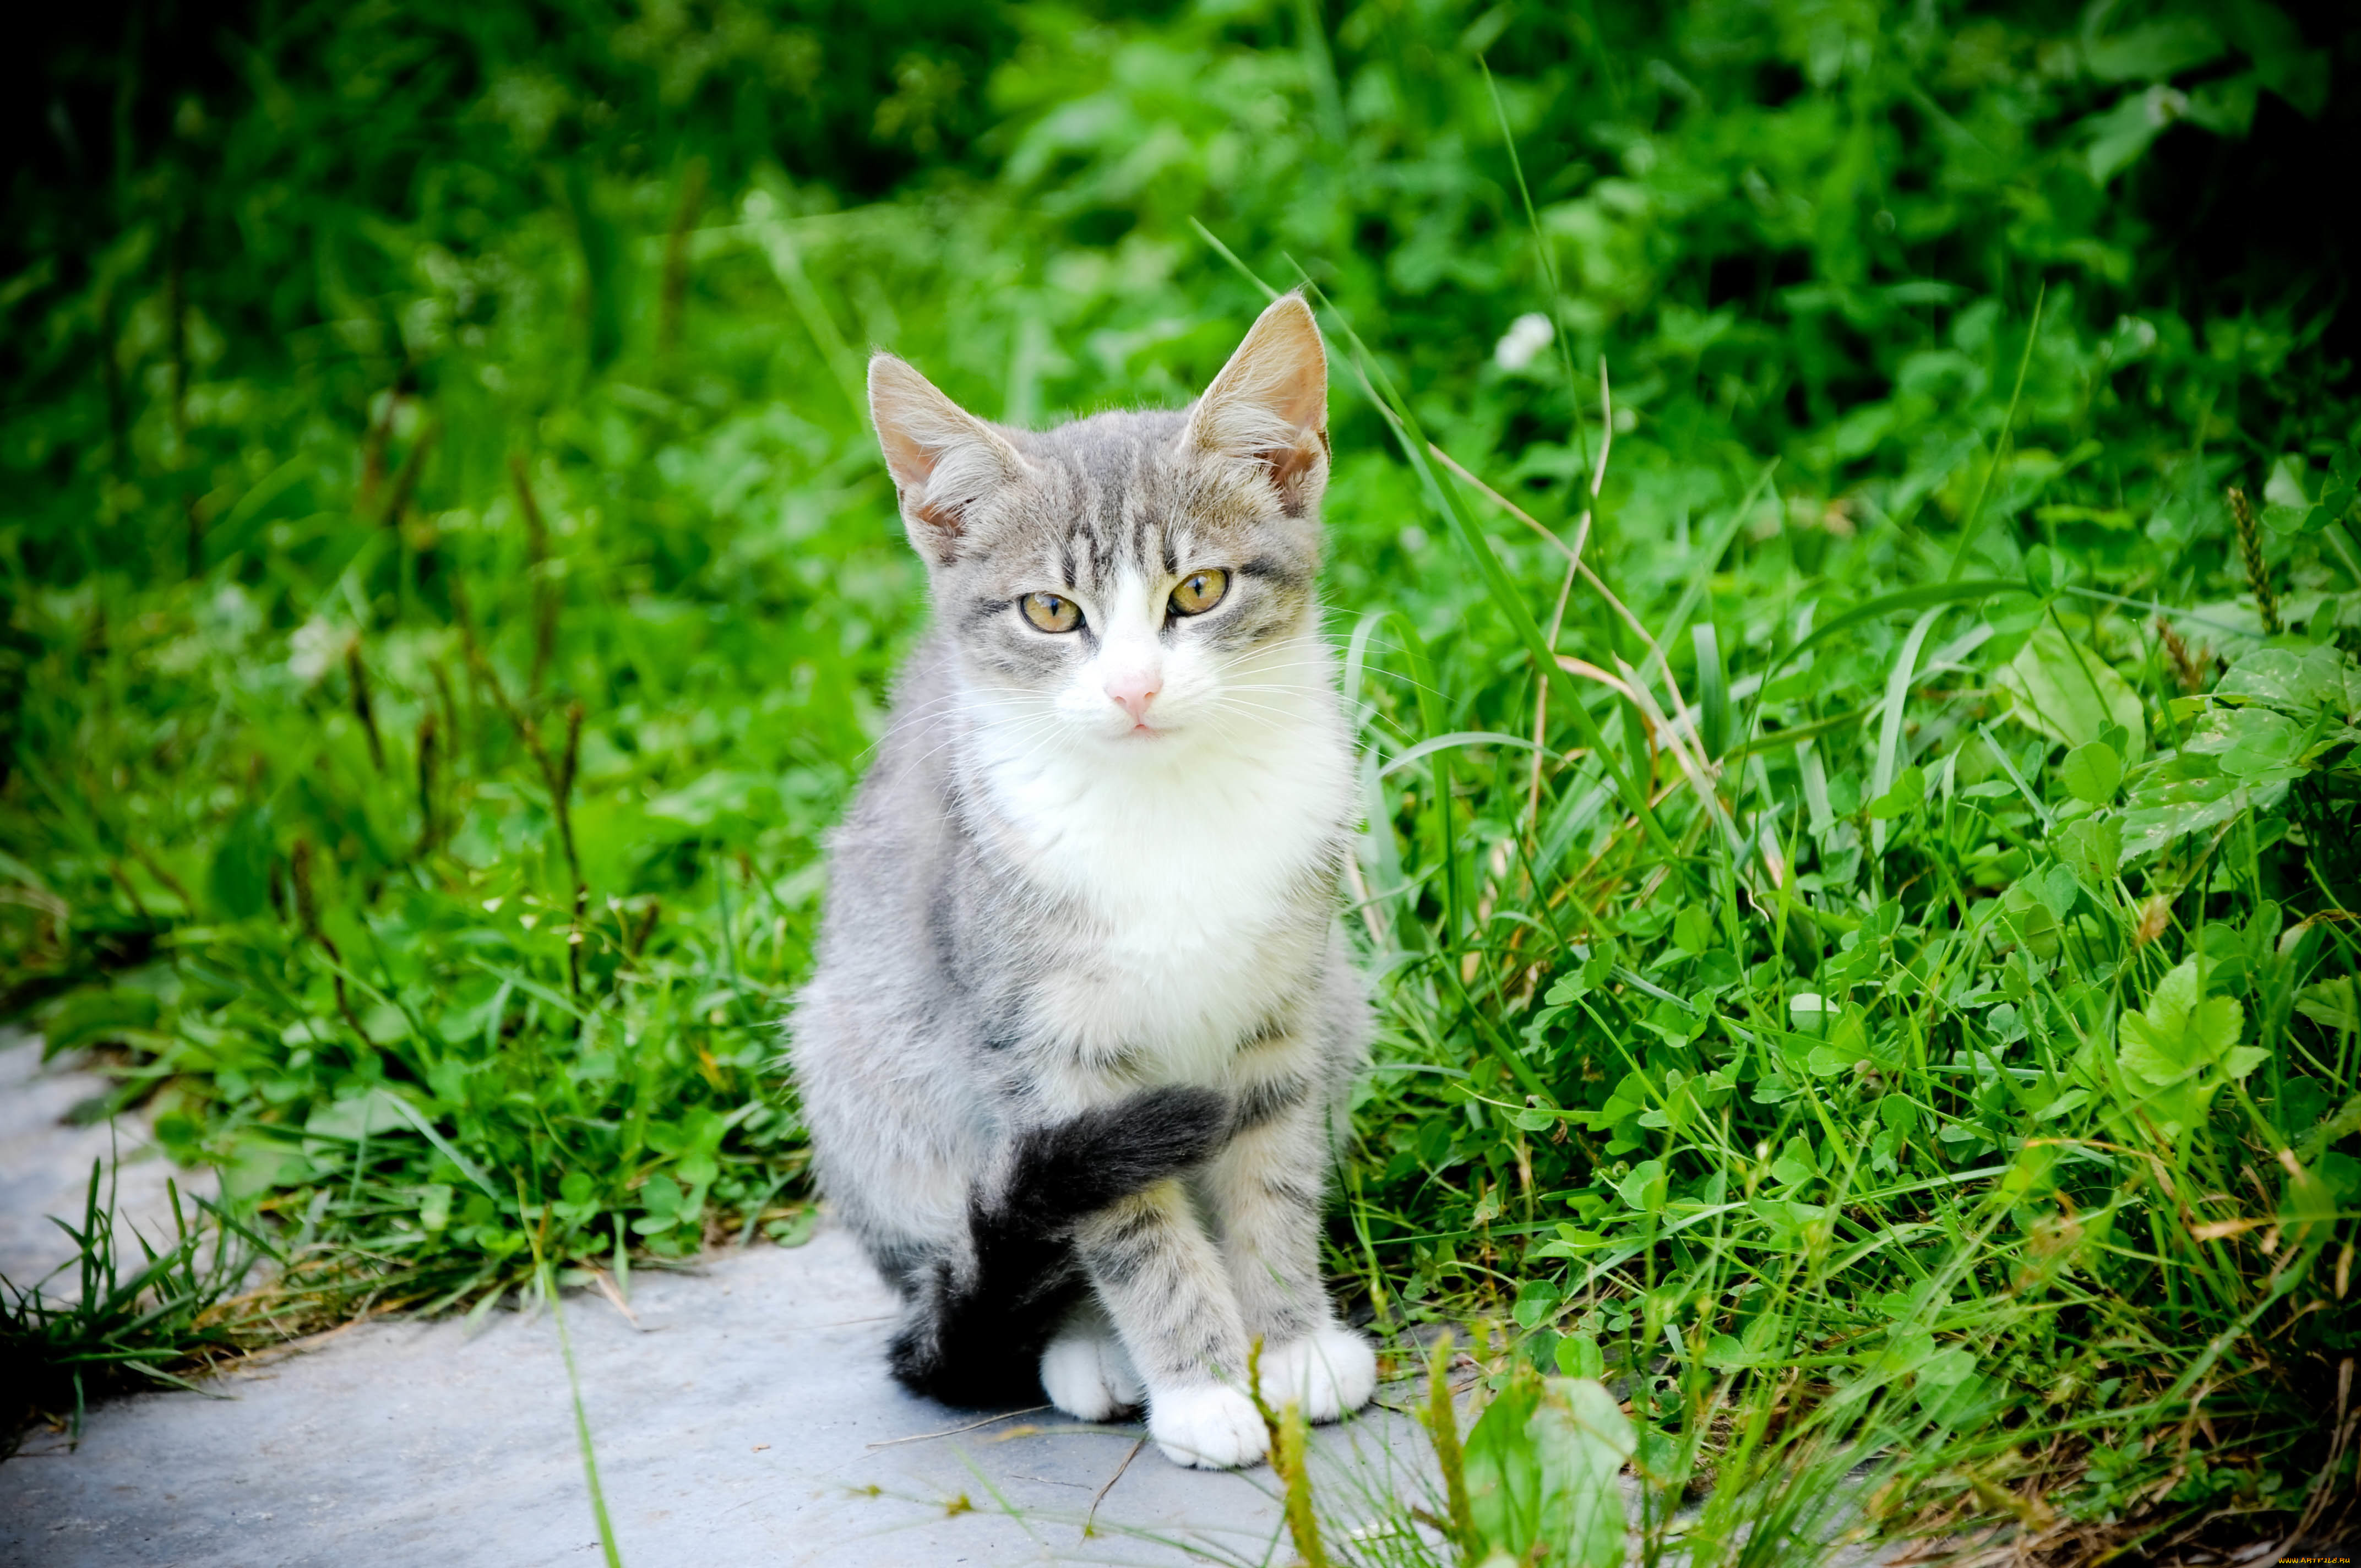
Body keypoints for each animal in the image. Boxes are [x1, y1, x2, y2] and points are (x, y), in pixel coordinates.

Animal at [788, 294, 1379, 1473]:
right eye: (1051, 611)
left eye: (1198, 589)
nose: (1135, 686)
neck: (1166, 811)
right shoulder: (1051, 1060)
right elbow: (1130, 1229)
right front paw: (1202, 1385)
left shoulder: (1282, 1017)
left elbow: (1274, 1182)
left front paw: (1290, 1340)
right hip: (864, 1062)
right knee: (988, 1249)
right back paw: (1086, 1348)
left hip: (1343, 995)